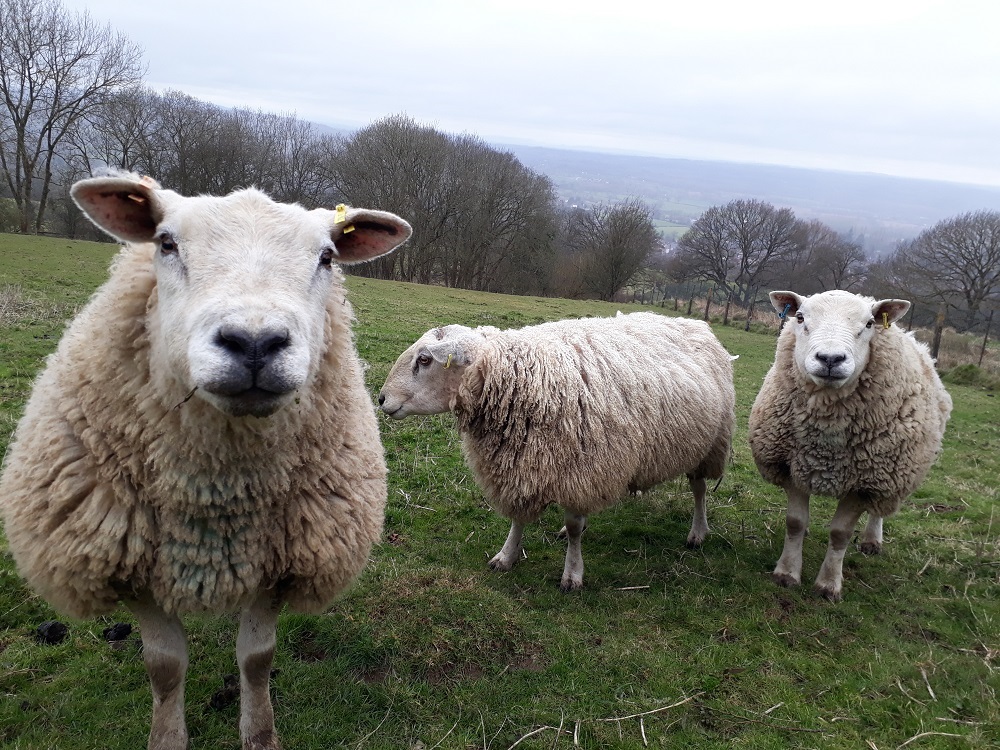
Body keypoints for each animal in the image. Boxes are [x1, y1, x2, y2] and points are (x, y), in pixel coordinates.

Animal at [0, 173, 410, 748]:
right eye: (166, 242)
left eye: (327, 256)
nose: (255, 342)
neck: (217, 493)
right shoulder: (130, 568)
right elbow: (165, 667)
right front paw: (168, 737)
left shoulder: (281, 564)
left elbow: (257, 659)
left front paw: (259, 733)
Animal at [376, 312, 736, 592]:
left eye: (424, 360)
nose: (380, 399)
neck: (521, 378)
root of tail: (696, 323)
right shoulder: (520, 464)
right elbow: (518, 517)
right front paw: (506, 556)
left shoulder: (582, 468)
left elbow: (575, 527)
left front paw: (572, 573)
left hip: (709, 444)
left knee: (699, 489)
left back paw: (697, 532)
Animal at [752, 290, 952, 604]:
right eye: (800, 318)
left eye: (869, 323)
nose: (830, 358)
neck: (826, 438)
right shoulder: (792, 467)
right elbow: (794, 521)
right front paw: (787, 573)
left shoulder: (864, 484)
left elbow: (840, 534)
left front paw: (828, 585)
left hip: (888, 476)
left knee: (878, 510)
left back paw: (872, 540)